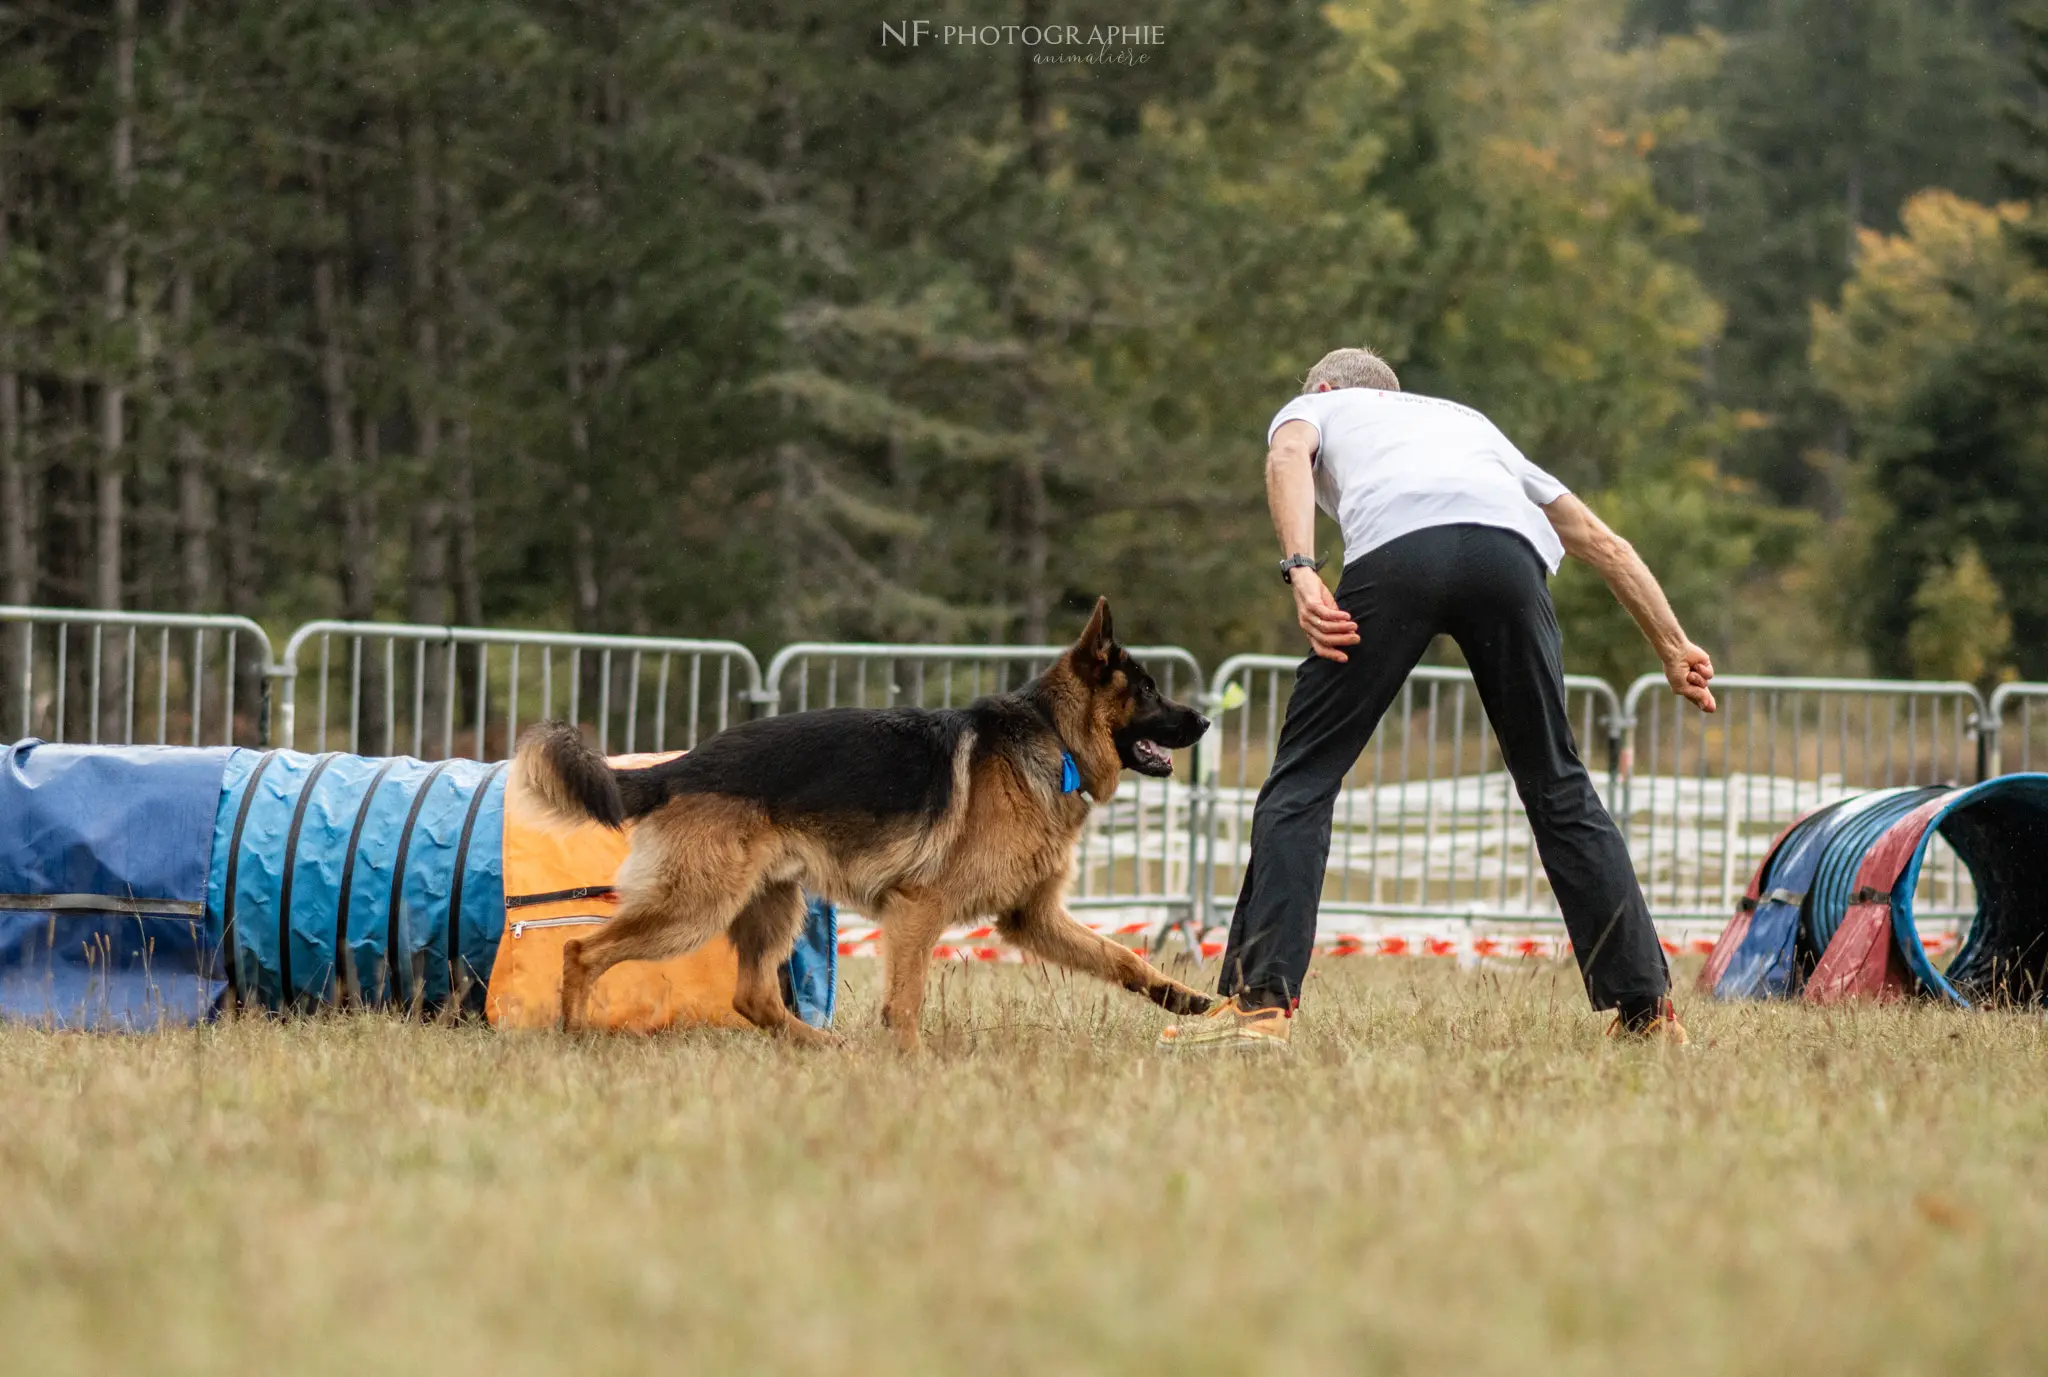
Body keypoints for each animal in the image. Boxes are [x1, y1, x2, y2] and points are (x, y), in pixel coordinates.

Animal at [516, 598, 1212, 1049]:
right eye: (1149, 690)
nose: (1205, 721)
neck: (1055, 740)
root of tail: (682, 766)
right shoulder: (917, 910)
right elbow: (905, 1001)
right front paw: (912, 1063)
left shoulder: (1031, 918)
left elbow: (1119, 954)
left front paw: (1182, 997)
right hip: (694, 908)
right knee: (582, 949)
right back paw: (574, 1033)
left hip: (771, 904)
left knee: (753, 996)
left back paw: (823, 1048)